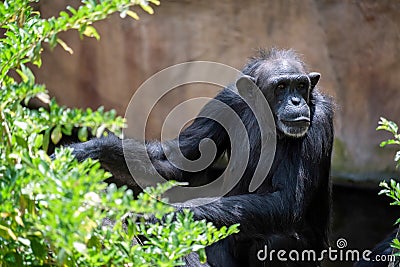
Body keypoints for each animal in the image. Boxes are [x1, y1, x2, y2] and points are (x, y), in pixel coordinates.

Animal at [66, 49, 334, 266]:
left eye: (300, 86)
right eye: (280, 87)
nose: (296, 101)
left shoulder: (319, 118)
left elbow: (286, 199)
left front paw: (162, 216)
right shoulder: (224, 102)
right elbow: (178, 161)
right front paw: (85, 151)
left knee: (277, 239)